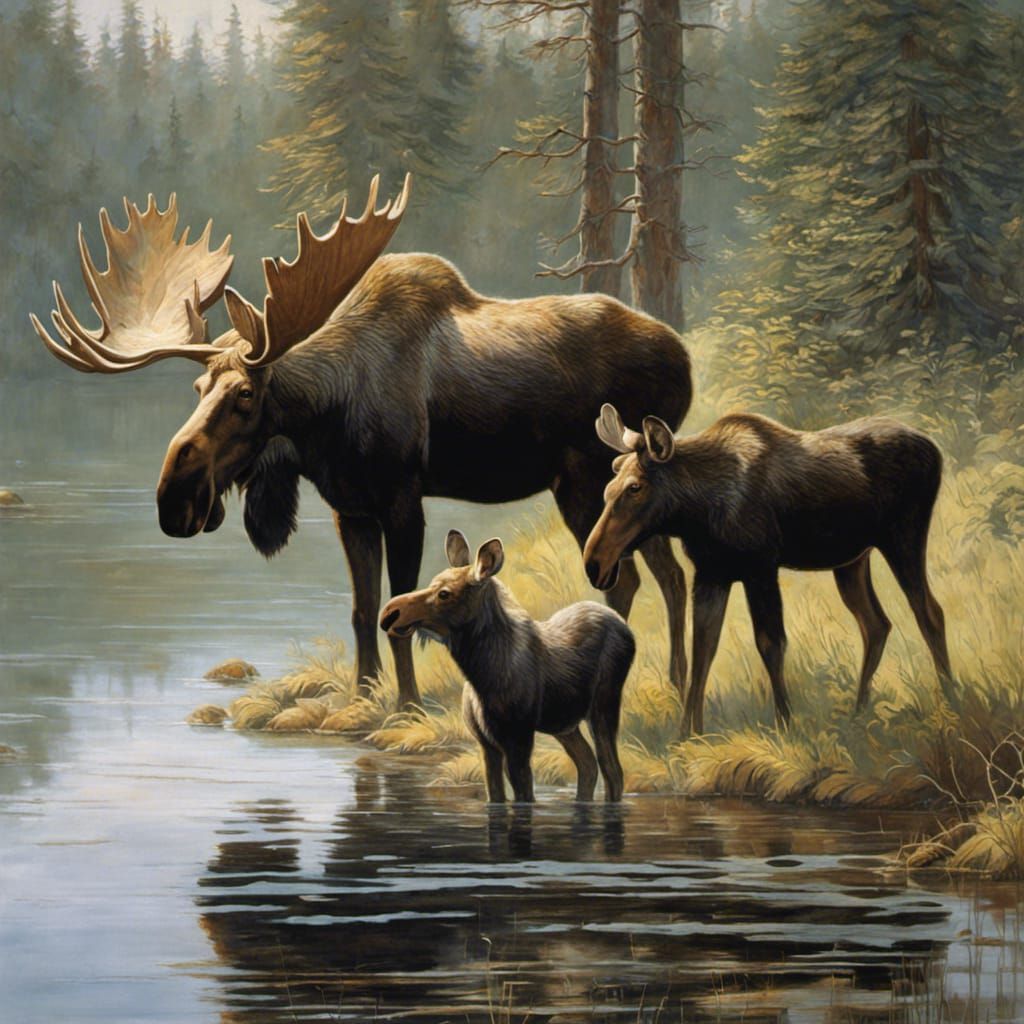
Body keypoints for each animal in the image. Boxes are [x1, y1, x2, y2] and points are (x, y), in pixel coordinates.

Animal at [30, 177, 691, 711]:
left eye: (245, 394)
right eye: (197, 387)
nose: (174, 499)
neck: (325, 418)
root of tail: (683, 357)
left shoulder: (402, 499)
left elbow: (399, 607)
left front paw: (407, 704)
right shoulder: (350, 508)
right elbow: (360, 609)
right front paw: (364, 695)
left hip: (588, 480)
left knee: (621, 580)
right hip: (628, 492)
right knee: (669, 575)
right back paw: (676, 681)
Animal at [380, 530, 635, 803]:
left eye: (444, 593)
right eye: (431, 583)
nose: (389, 613)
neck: (480, 672)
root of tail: (624, 627)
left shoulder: (518, 738)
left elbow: (524, 795)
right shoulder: (486, 744)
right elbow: (495, 795)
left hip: (603, 705)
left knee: (612, 769)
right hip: (564, 723)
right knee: (587, 764)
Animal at [582, 404, 955, 737]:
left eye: (635, 487)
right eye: (608, 489)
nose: (594, 562)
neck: (698, 510)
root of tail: (935, 449)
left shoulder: (760, 569)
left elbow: (770, 643)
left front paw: (784, 724)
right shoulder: (711, 575)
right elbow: (703, 649)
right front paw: (688, 734)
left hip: (903, 537)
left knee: (930, 612)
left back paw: (951, 703)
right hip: (851, 561)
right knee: (876, 624)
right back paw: (858, 714)